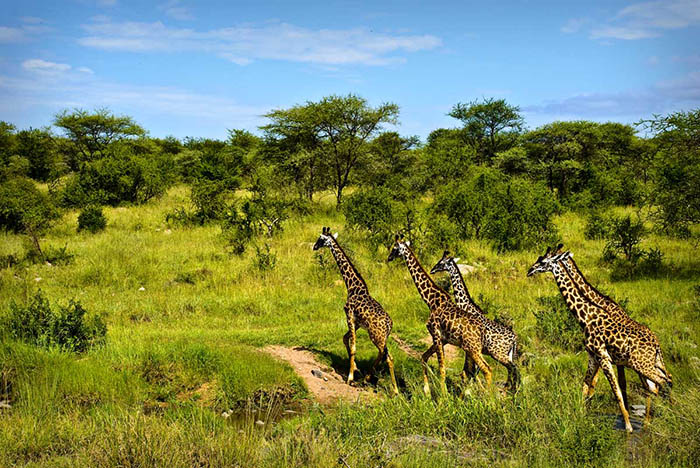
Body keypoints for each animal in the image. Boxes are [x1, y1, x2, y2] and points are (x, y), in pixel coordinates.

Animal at [314, 227, 400, 394]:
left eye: (320, 238)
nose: (314, 246)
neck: (353, 286)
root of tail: (389, 325)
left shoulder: (349, 316)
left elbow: (353, 347)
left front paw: (350, 378)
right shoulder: (358, 322)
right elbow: (345, 339)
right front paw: (356, 369)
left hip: (376, 336)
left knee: (387, 356)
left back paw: (388, 387)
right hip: (381, 337)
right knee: (385, 355)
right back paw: (382, 384)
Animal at [386, 234, 500, 394]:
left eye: (395, 248)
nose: (389, 257)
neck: (432, 301)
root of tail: (483, 331)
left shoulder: (436, 335)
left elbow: (442, 368)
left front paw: (443, 395)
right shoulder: (442, 339)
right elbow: (424, 357)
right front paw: (427, 391)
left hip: (472, 349)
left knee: (486, 369)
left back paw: (487, 397)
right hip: (474, 349)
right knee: (480, 370)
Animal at [430, 250, 524, 390]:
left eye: (441, 263)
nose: (432, 270)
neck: (466, 305)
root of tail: (514, 338)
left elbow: (470, 370)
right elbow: (471, 370)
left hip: (498, 353)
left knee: (514, 369)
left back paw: (510, 389)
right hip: (507, 354)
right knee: (514, 369)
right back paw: (511, 389)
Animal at [528, 247, 668, 434]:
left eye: (543, 261)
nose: (530, 270)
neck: (587, 316)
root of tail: (656, 344)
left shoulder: (605, 357)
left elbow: (617, 390)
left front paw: (628, 426)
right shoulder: (595, 357)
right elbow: (587, 386)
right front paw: (580, 414)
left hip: (641, 365)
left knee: (663, 383)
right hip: (648, 365)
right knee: (656, 386)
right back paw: (650, 422)